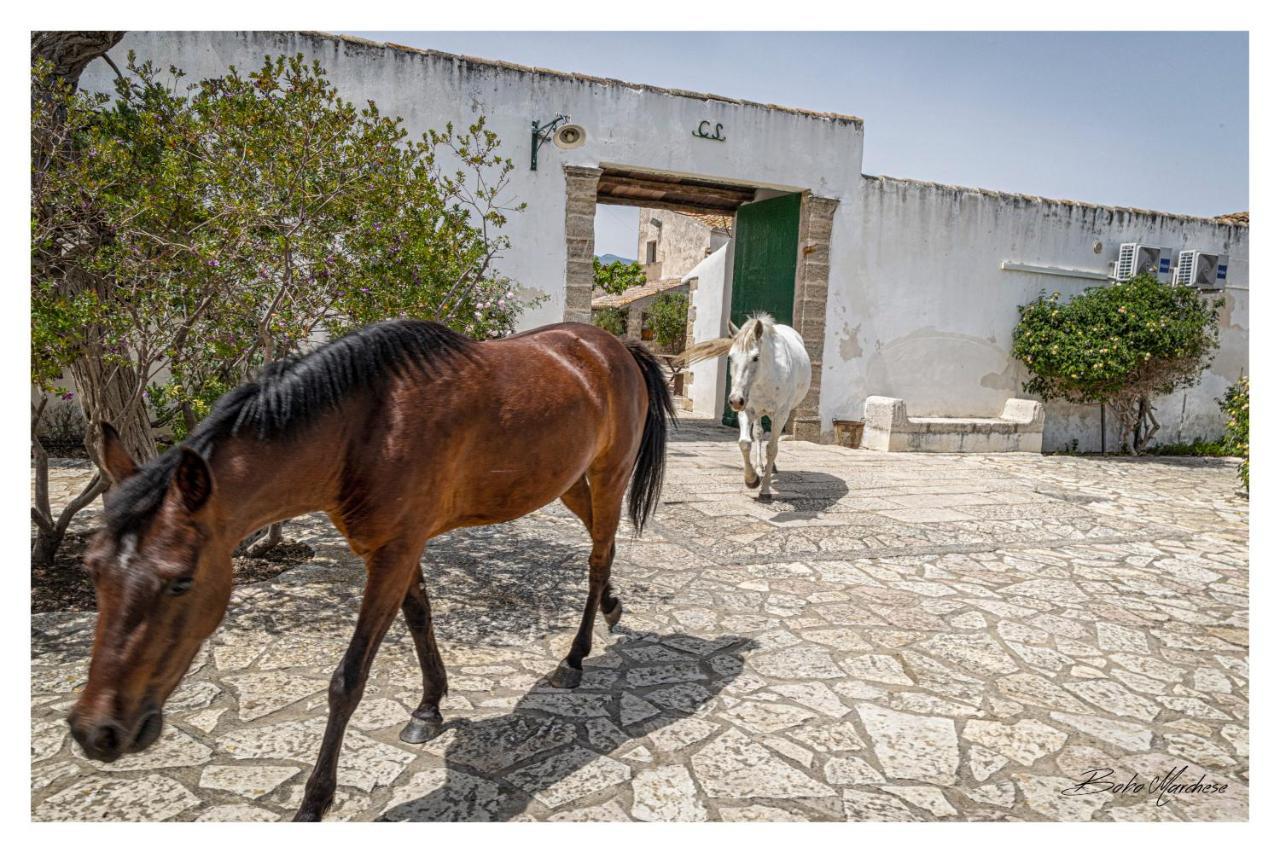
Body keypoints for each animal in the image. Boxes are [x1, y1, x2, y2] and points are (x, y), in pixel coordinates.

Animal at [64, 317, 675, 819]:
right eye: (92, 569)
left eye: (180, 581)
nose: (97, 731)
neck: (366, 426)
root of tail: (610, 346)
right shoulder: (397, 548)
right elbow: (420, 619)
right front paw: (429, 707)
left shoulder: (393, 553)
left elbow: (349, 679)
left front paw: (313, 801)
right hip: (568, 481)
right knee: (601, 548)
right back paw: (612, 607)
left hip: (610, 474)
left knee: (598, 557)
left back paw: (574, 658)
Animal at [680, 311, 808, 499]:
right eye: (730, 357)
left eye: (755, 357)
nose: (735, 400)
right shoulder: (747, 410)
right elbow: (745, 443)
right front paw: (752, 479)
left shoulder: (781, 413)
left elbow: (772, 448)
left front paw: (765, 489)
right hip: (758, 412)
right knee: (759, 434)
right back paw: (760, 467)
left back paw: (770, 467)